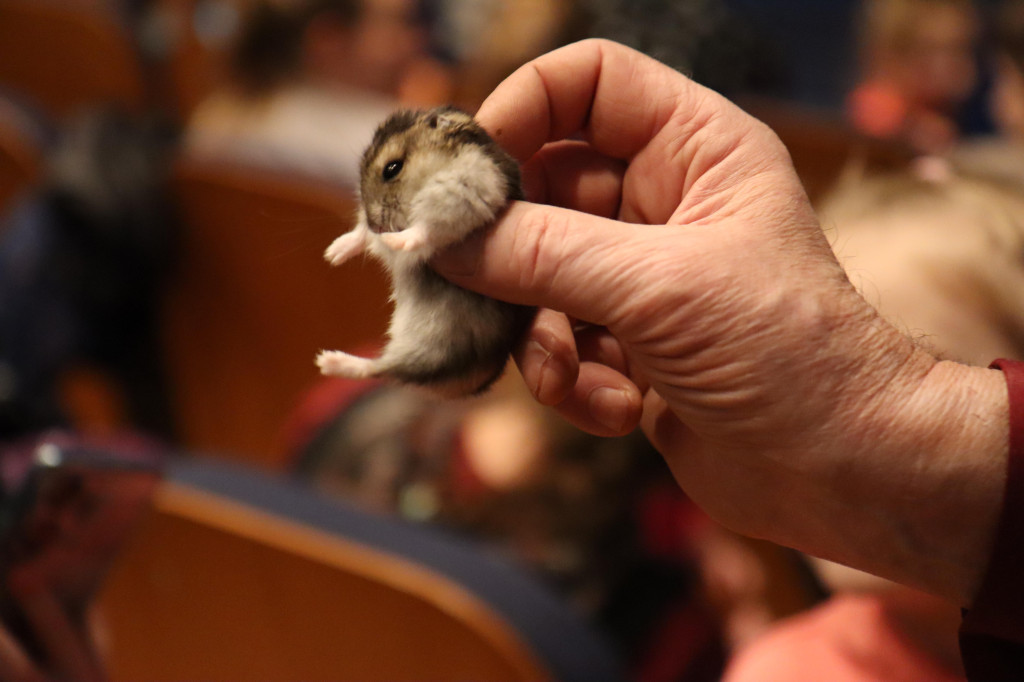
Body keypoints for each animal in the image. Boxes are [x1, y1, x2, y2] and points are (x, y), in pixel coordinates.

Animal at [315, 105, 536, 393]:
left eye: (392, 168)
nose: (377, 226)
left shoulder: (464, 192)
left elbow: (424, 229)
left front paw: (393, 241)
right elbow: (361, 234)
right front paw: (332, 254)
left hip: (434, 348)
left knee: (379, 369)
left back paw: (327, 361)